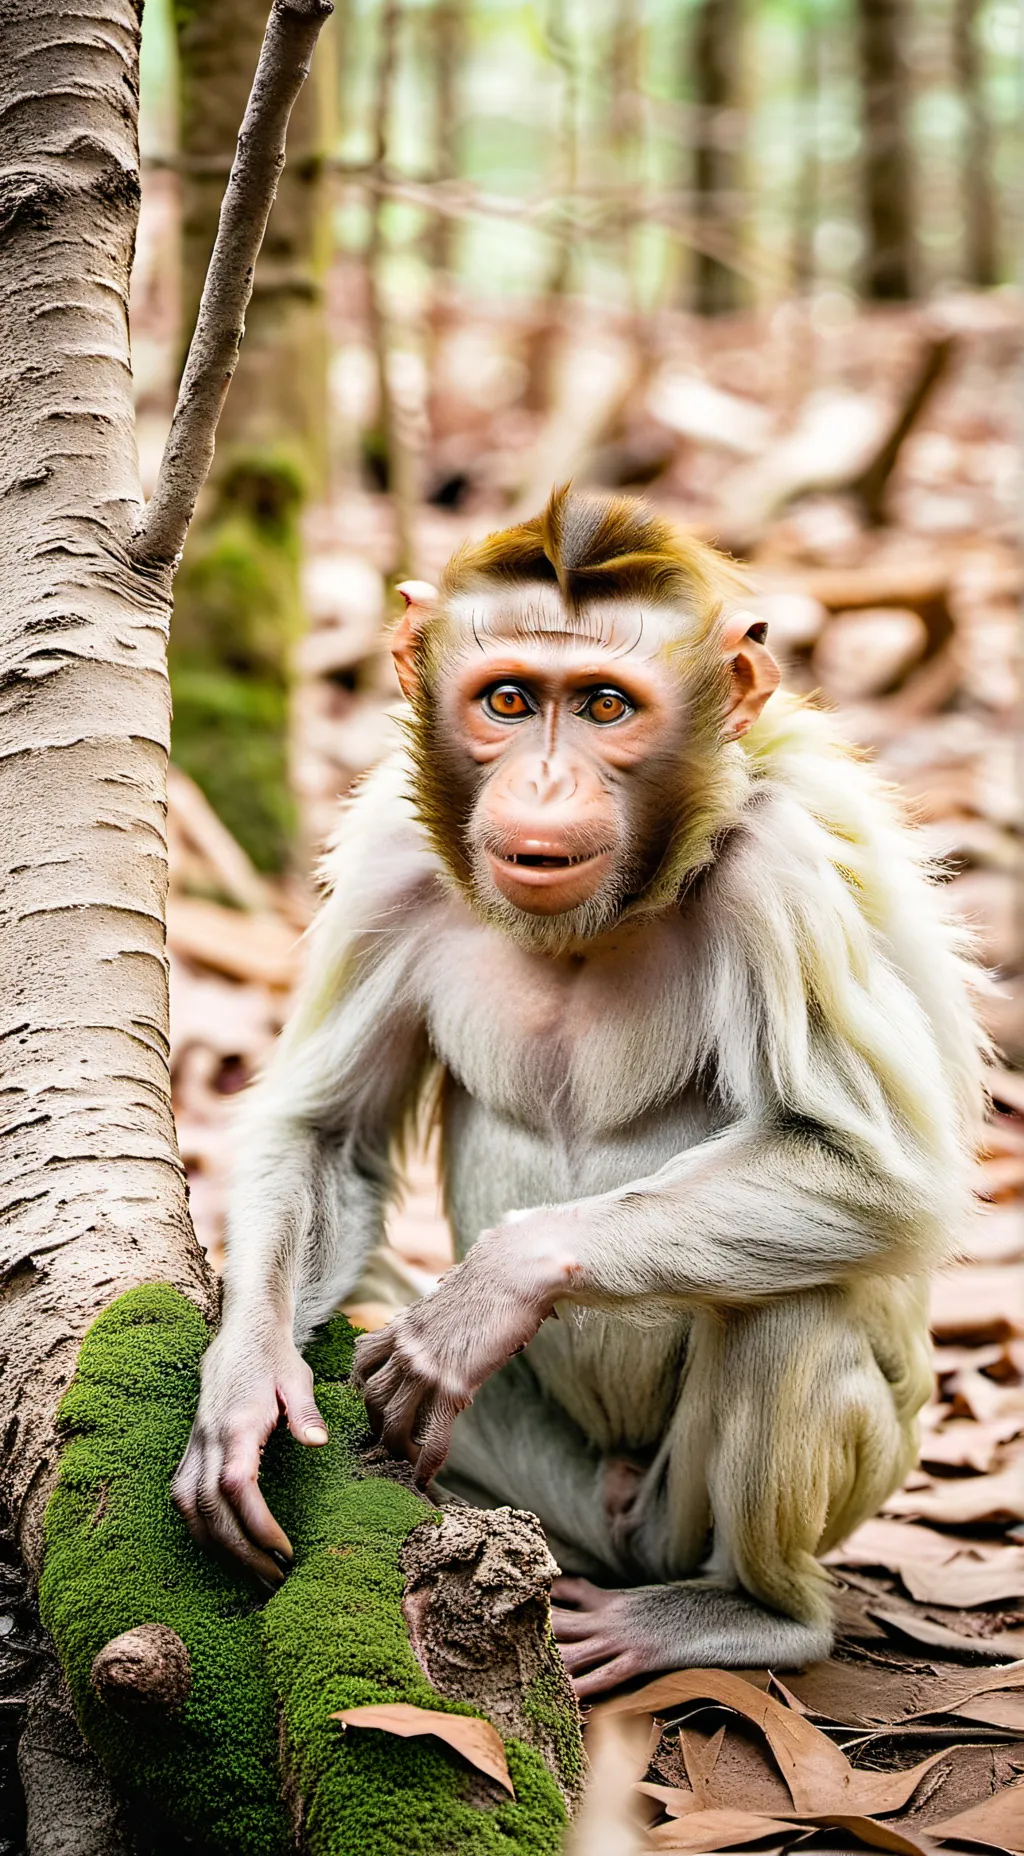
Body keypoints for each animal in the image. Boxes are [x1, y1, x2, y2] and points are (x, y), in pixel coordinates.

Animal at [173, 486, 987, 1697]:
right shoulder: (390, 858)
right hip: (552, 1493)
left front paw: (487, 1292)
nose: (545, 781)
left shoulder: (784, 869)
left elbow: (875, 1171)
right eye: (508, 699)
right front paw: (242, 1382)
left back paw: (755, 1612)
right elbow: (327, 1133)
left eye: (605, 706)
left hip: (716, 1504)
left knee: (796, 1305)